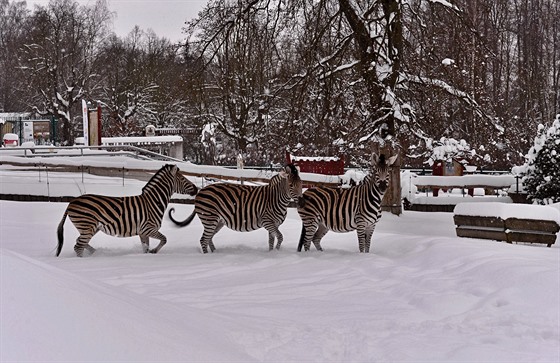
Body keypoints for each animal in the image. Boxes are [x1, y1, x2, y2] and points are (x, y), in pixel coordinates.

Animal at [55, 164, 199, 258]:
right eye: (182, 178)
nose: (196, 188)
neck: (153, 201)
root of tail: (71, 202)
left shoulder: (143, 233)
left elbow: (145, 248)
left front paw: (148, 255)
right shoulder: (148, 228)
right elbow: (164, 239)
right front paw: (154, 252)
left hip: (91, 228)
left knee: (80, 243)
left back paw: (95, 253)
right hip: (87, 226)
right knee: (78, 246)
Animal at [168, 165, 304, 253]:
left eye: (301, 184)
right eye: (291, 185)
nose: (302, 202)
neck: (276, 198)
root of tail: (200, 192)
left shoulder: (274, 224)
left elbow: (271, 240)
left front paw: (272, 254)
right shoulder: (267, 221)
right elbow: (280, 237)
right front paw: (277, 253)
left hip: (217, 221)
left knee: (209, 238)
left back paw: (215, 253)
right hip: (210, 218)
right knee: (203, 240)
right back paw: (209, 257)